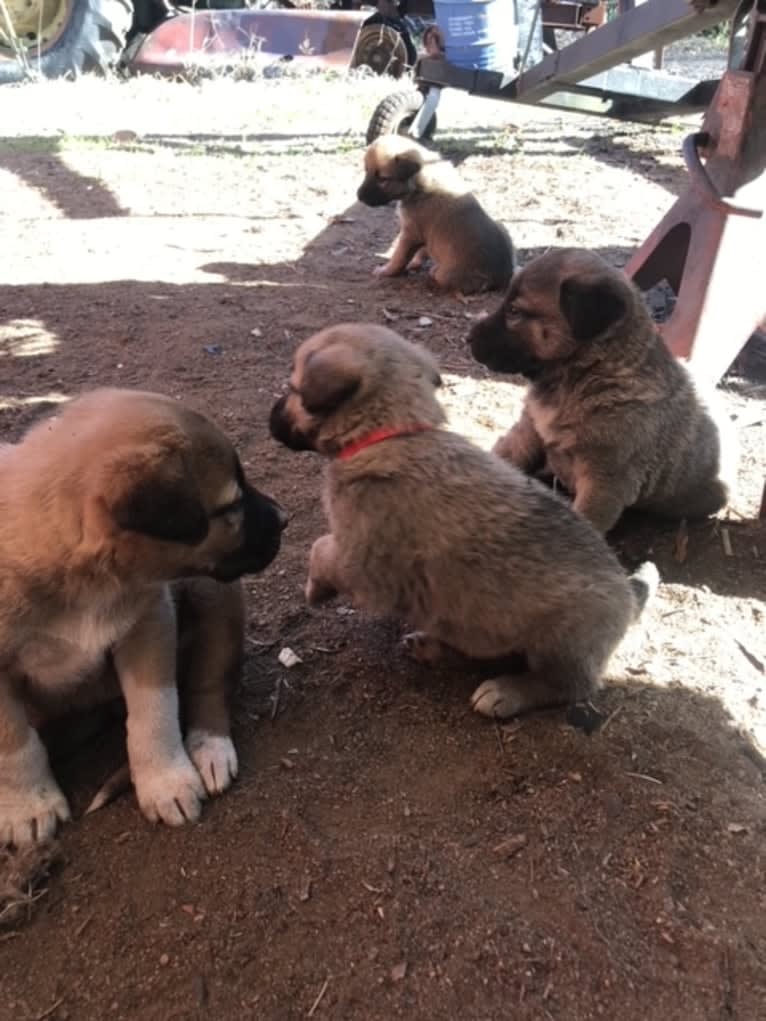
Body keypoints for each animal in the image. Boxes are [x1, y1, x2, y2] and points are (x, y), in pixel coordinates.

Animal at [0, 390, 288, 845]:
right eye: (232, 504)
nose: (284, 518)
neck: (85, 581)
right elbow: (13, 742)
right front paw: (28, 805)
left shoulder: (150, 623)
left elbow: (156, 711)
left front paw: (167, 781)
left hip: (214, 593)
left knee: (209, 684)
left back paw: (209, 749)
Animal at [355, 133, 512, 294]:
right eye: (366, 171)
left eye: (383, 179)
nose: (358, 196)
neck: (419, 183)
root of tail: (502, 278)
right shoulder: (423, 235)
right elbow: (422, 251)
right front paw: (415, 263)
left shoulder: (410, 234)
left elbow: (399, 257)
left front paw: (386, 271)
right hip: (502, 226)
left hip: (448, 274)